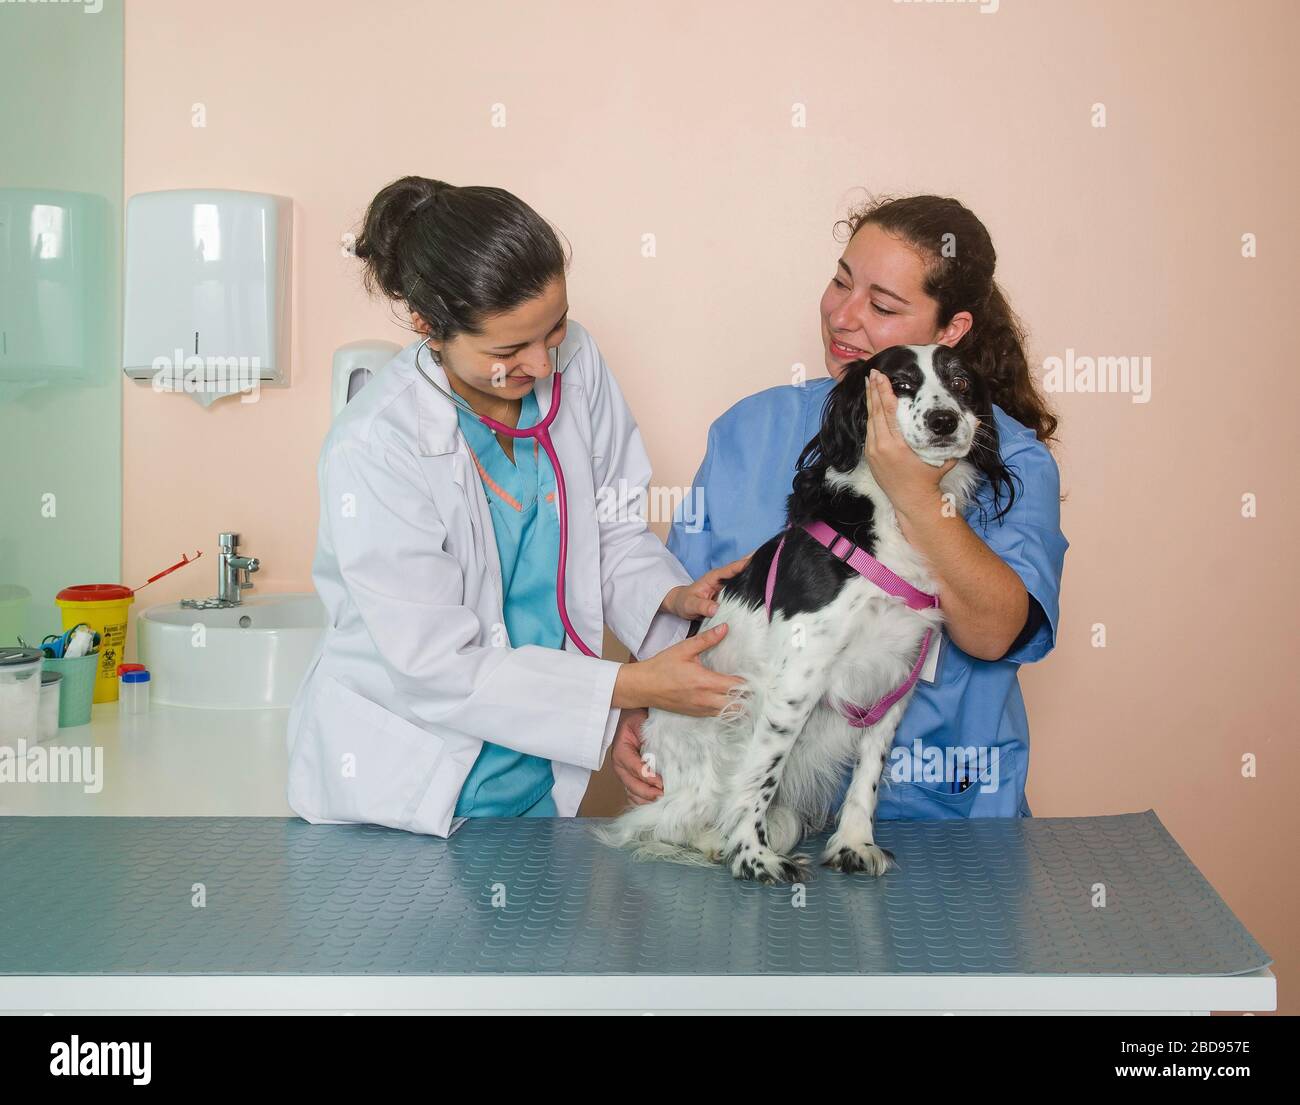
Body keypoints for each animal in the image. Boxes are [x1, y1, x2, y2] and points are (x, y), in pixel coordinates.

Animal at [598, 343, 1013, 878]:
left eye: (961, 382)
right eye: (900, 383)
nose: (944, 420)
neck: (887, 518)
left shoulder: (893, 682)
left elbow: (868, 776)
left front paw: (854, 843)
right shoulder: (797, 677)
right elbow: (761, 776)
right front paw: (752, 857)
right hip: (706, 762)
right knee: (664, 823)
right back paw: (714, 842)